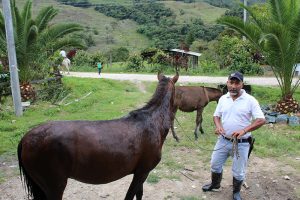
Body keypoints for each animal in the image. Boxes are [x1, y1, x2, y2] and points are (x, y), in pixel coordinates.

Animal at [17, 72, 178, 200]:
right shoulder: (142, 172)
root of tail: (25, 138)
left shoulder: (140, 173)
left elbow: (139, 194)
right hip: (54, 187)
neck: (153, 121)